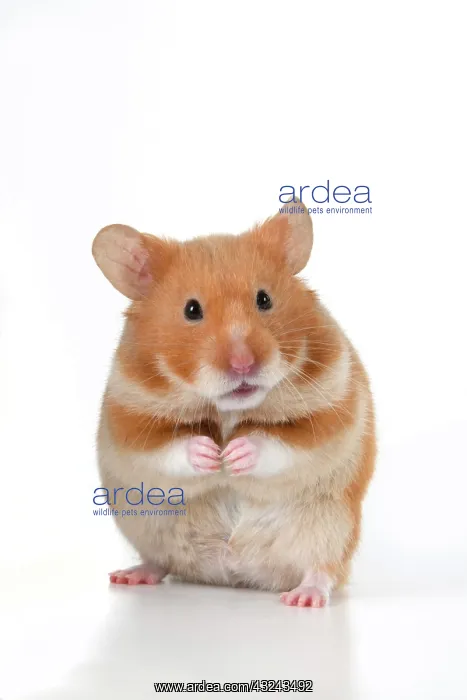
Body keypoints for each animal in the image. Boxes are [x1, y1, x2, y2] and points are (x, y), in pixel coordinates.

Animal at [92, 204, 375, 607]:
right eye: (191, 309)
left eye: (264, 299)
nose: (244, 365)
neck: (227, 409)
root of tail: (235, 572)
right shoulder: (128, 418)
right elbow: (167, 449)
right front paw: (212, 455)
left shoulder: (331, 407)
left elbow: (282, 443)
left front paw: (234, 455)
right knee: (160, 562)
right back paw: (129, 576)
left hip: (332, 529)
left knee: (322, 569)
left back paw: (304, 598)